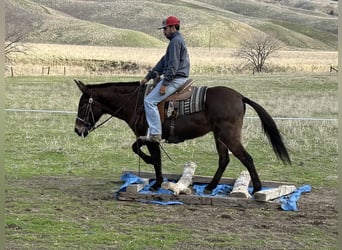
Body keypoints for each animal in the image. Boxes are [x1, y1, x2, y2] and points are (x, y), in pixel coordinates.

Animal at [73, 79, 290, 193]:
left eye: (83, 105)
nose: (77, 129)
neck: (137, 102)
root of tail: (240, 97)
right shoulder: (145, 137)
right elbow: (138, 148)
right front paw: (154, 172)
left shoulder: (151, 137)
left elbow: (155, 159)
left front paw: (157, 182)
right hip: (219, 137)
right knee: (224, 160)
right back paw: (211, 186)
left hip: (229, 136)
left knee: (246, 158)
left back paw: (257, 188)